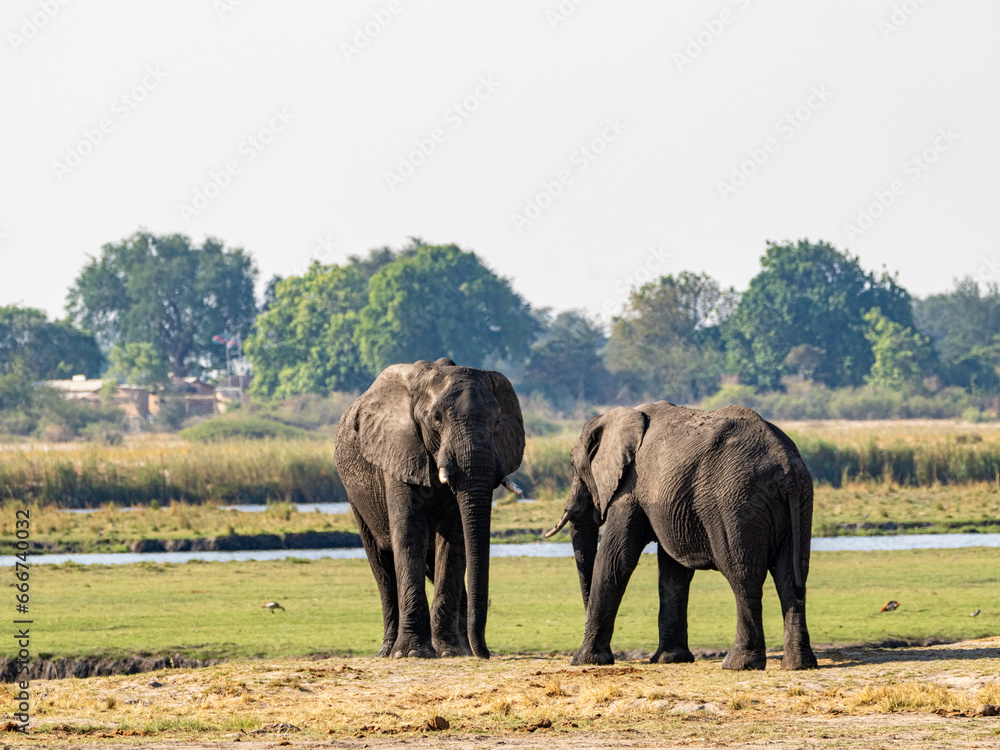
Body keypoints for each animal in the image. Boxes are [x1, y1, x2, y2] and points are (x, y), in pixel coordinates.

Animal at [334, 358, 524, 659]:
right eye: (436, 420)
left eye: (496, 421)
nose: (485, 654)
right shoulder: (398, 451)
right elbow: (410, 534)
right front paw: (411, 653)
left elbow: (454, 539)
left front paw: (451, 652)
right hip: (356, 497)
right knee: (382, 564)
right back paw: (387, 651)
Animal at [545, 402, 817, 671]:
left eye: (573, 465)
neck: (624, 415)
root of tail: (785, 467)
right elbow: (673, 572)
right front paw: (670, 659)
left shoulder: (630, 488)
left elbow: (615, 560)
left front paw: (583, 661)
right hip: (801, 499)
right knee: (791, 575)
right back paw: (798, 665)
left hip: (735, 502)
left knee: (744, 575)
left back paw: (738, 664)